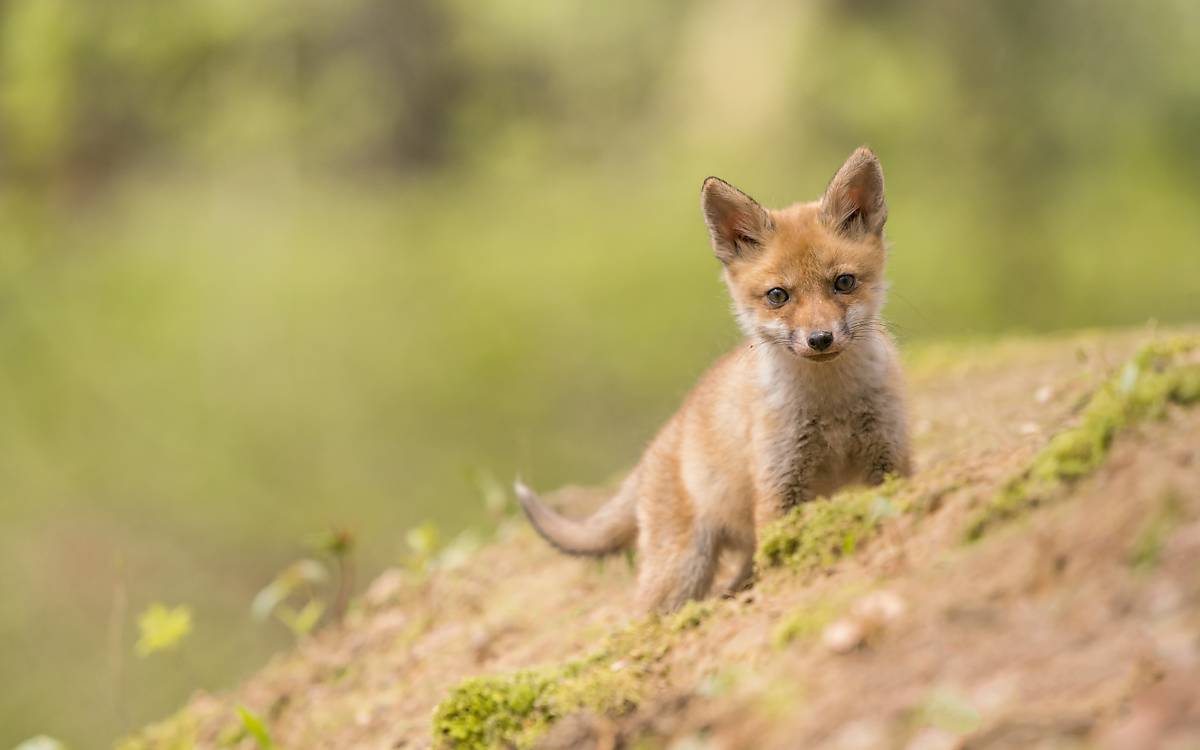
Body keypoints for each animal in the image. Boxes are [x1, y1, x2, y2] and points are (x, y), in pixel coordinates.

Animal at [516, 147, 907, 614]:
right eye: (778, 295)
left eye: (844, 282)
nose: (820, 339)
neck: (831, 403)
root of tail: (662, 439)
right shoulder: (780, 484)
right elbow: (783, 554)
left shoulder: (890, 460)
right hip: (682, 570)